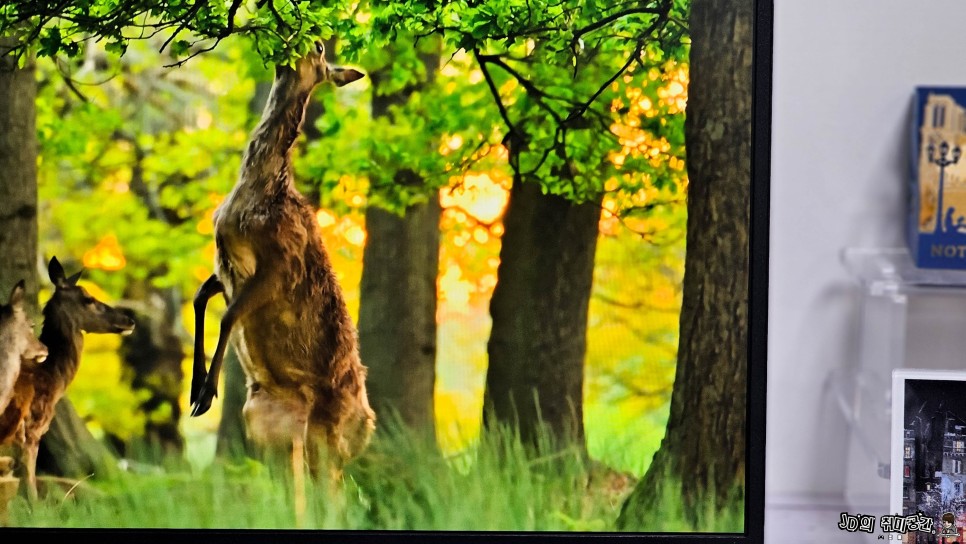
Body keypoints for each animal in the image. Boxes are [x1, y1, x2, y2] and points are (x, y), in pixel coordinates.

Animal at [189, 42, 374, 482]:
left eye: (320, 46)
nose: (297, 44)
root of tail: (367, 431)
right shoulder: (227, 264)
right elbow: (200, 298)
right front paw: (194, 386)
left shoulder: (280, 264)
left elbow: (228, 315)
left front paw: (206, 393)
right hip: (268, 431)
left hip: (328, 438)